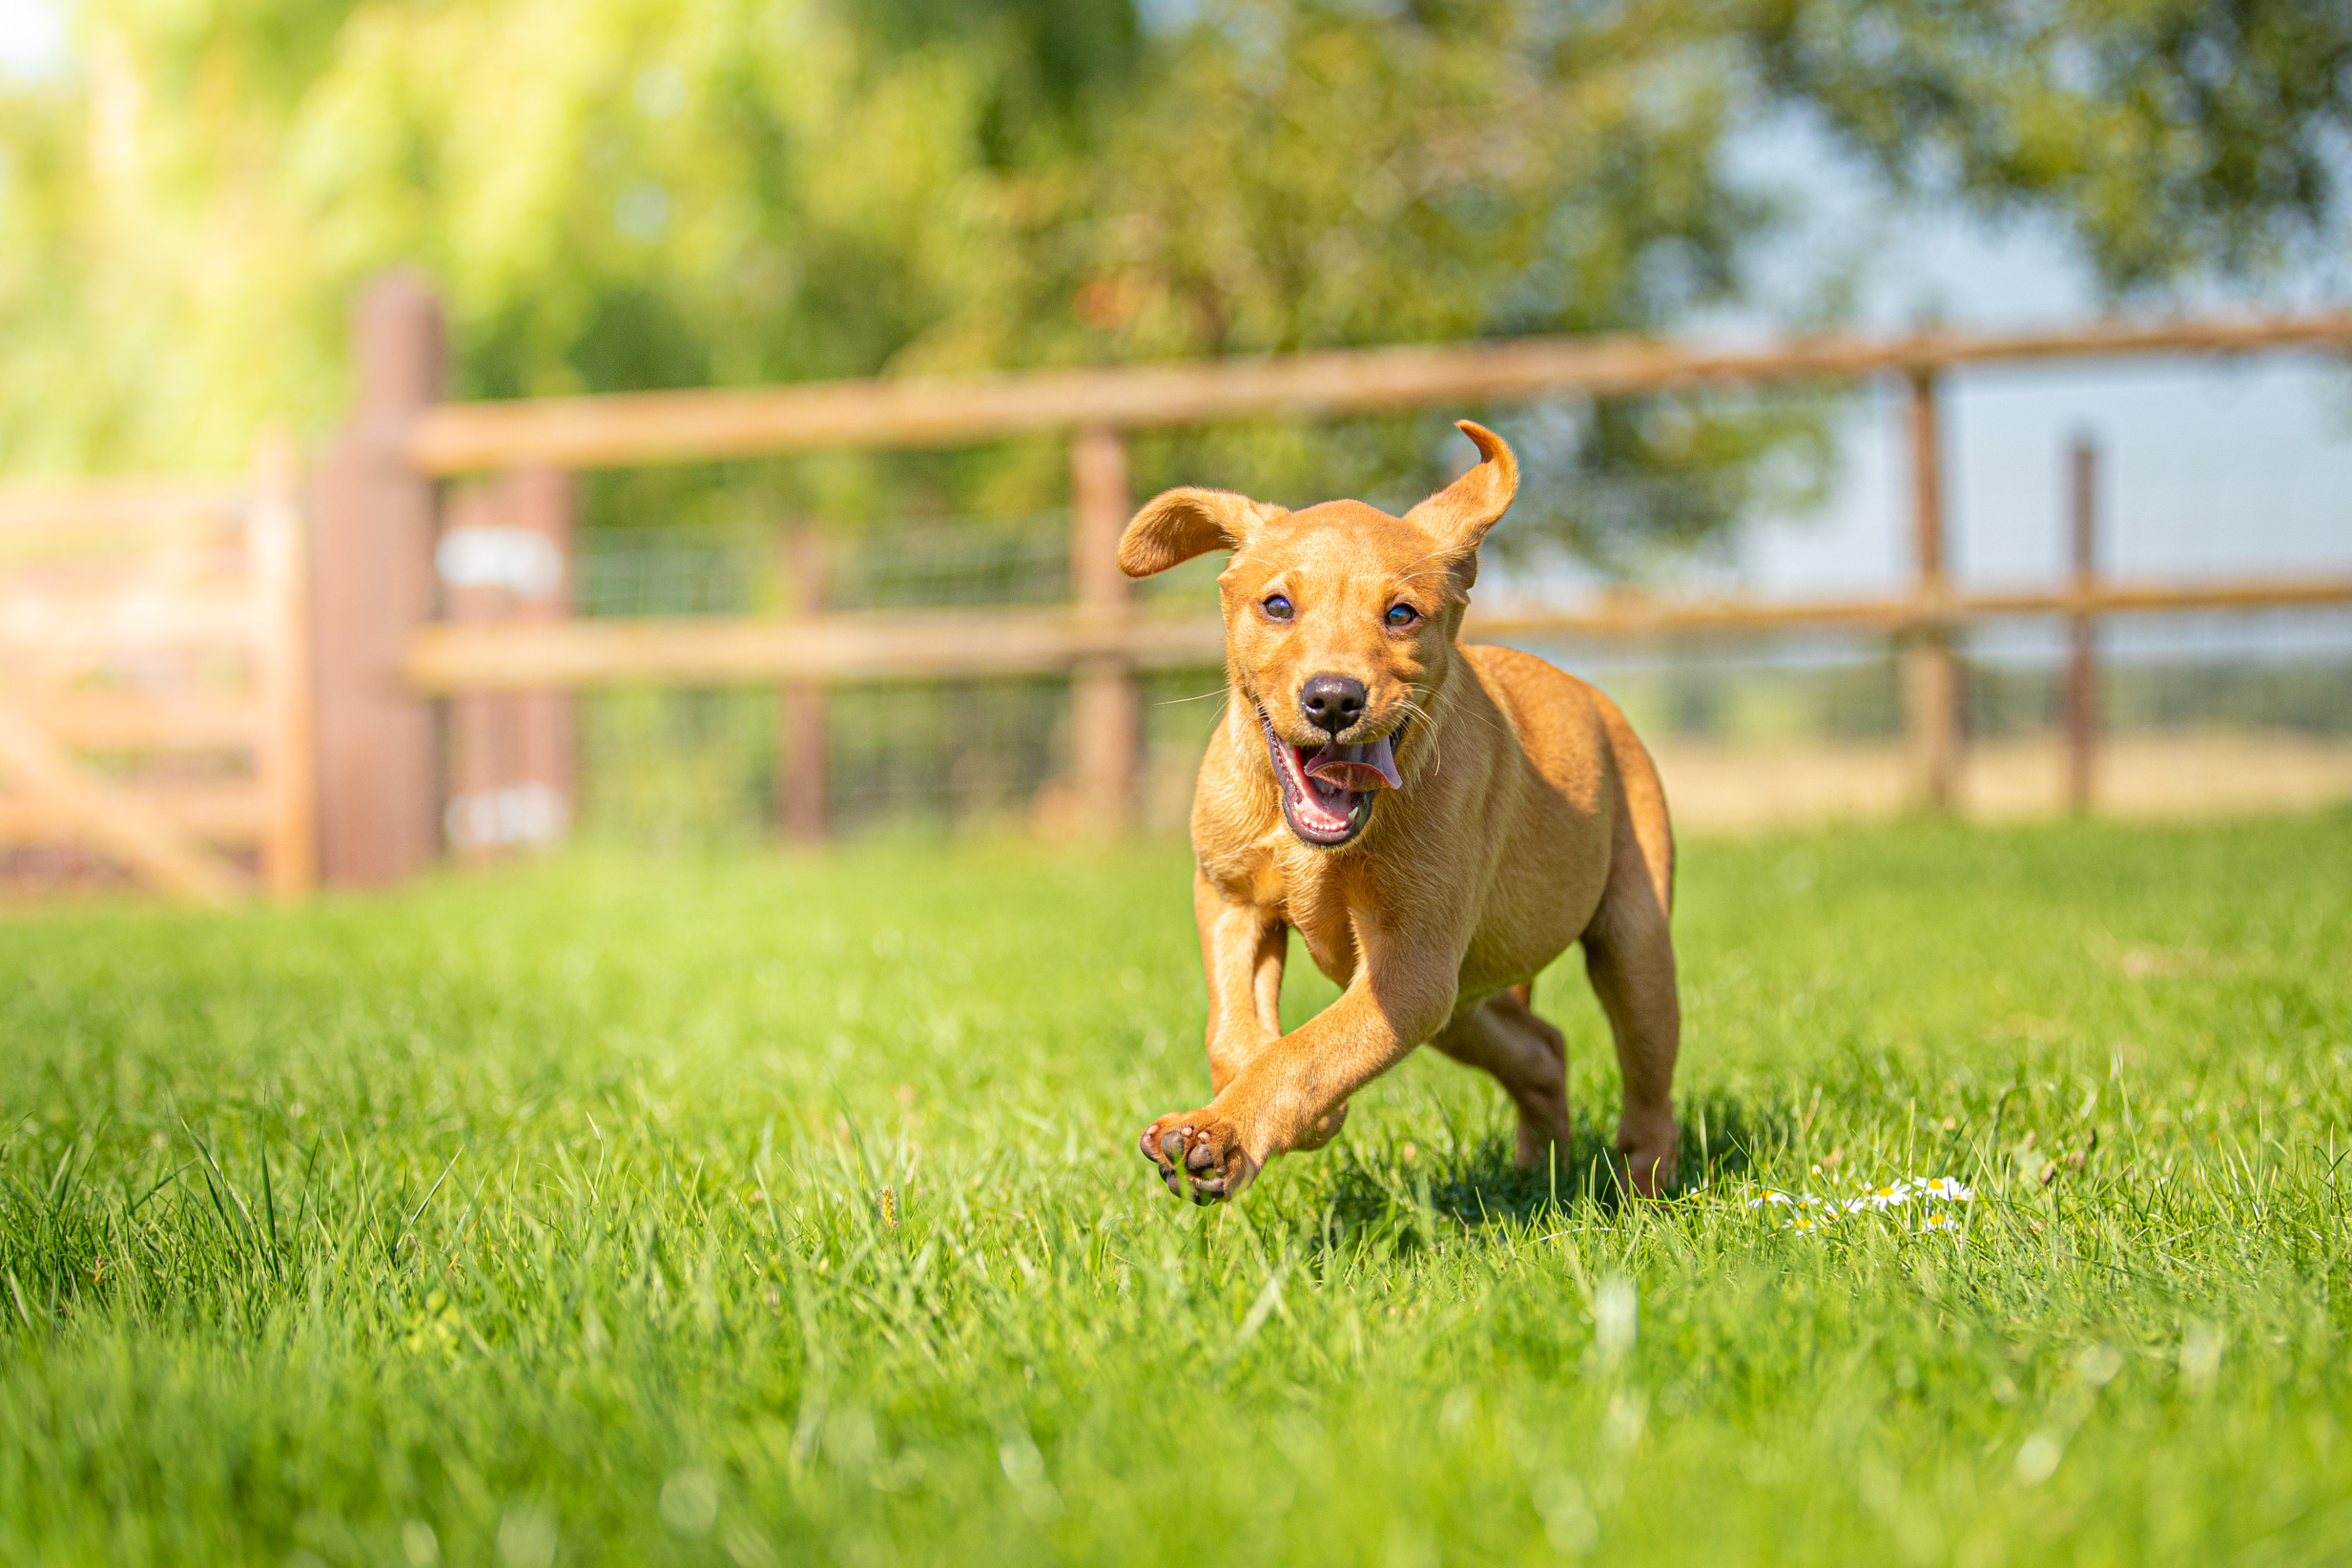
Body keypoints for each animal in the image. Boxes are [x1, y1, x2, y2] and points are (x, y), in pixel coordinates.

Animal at [1114, 416, 1674, 1203]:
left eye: (1401, 615)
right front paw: (1245, 1118)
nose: (1333, 699)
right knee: (1542, 1048)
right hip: (1463, 1000)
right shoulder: (1229, 899)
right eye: (1278, 606)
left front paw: (1232, 1129)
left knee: (1647, 1079)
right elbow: (1235, 1033)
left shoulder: (1408, 972)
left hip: (1629, 941)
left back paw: (1644, 1189)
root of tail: (1592, 697)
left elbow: (1307, 1052)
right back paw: (1538, 1168)